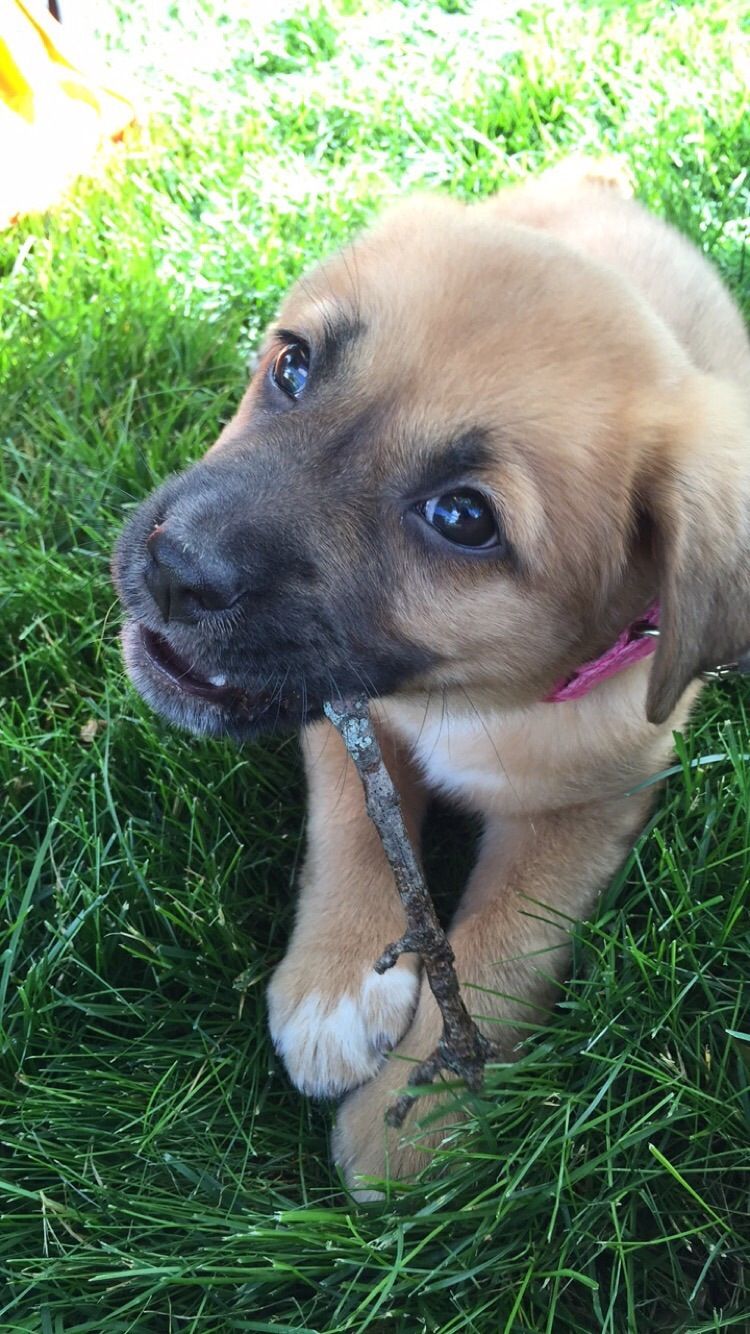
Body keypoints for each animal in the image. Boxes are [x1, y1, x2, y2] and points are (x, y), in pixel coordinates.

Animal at [112, 166, 747, 1200]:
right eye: (293, 368)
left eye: (463, 518)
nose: (174, 570)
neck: (477, 701)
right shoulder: (345, 711)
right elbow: (354, 827)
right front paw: (334, 986)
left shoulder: (596, 801)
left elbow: (508, 944)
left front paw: (417, 1116)